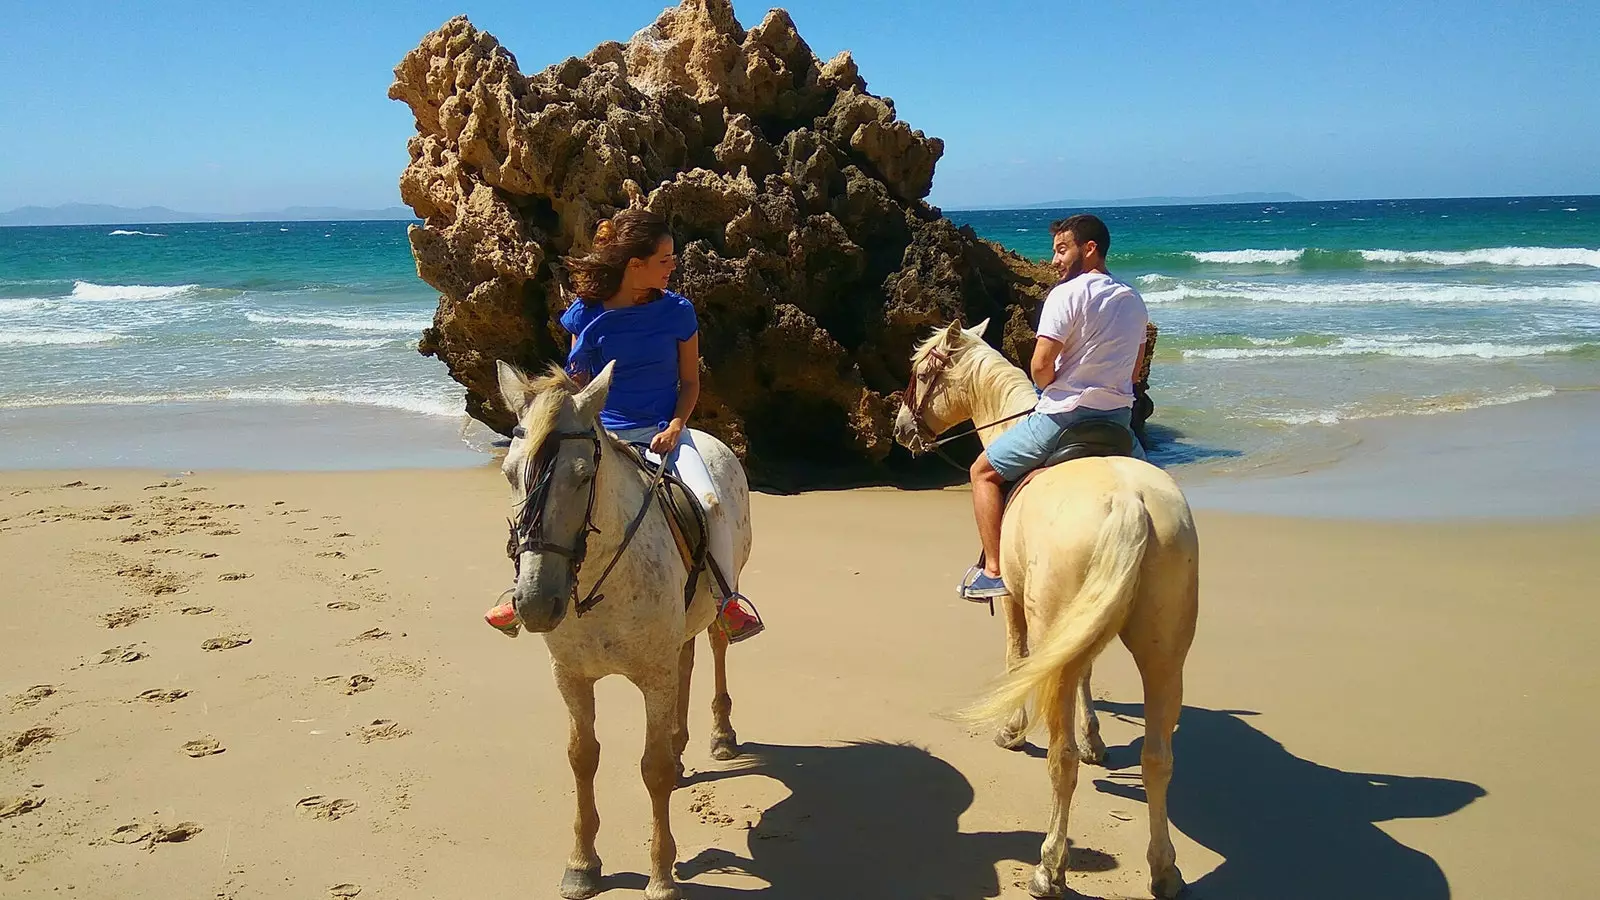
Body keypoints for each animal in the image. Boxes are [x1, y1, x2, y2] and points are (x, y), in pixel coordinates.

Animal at [496, 357, 752, 896]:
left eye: (582, 475)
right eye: (510, 474)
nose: (535, 603)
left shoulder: (652, 677)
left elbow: (652, 770)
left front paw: (661, 874)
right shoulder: (571, 677)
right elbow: (582, 756)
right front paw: (581, 863)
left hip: (726, 586)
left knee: (715, 646)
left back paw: (721, 734)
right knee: (686, 658)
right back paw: (680, 744)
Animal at [896, 321, 1196, 896]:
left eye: (920, 372)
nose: (900, 427)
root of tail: (1130, 504)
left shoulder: (1015, 602)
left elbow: (1017, 659)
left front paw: (1013, 730)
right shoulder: (1078, 629)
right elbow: (1086, 675)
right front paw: (1097, 737)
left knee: (1062, 761)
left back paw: (1049, 866)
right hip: (1165, 656)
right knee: (1159, 758)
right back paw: (1164, 867)